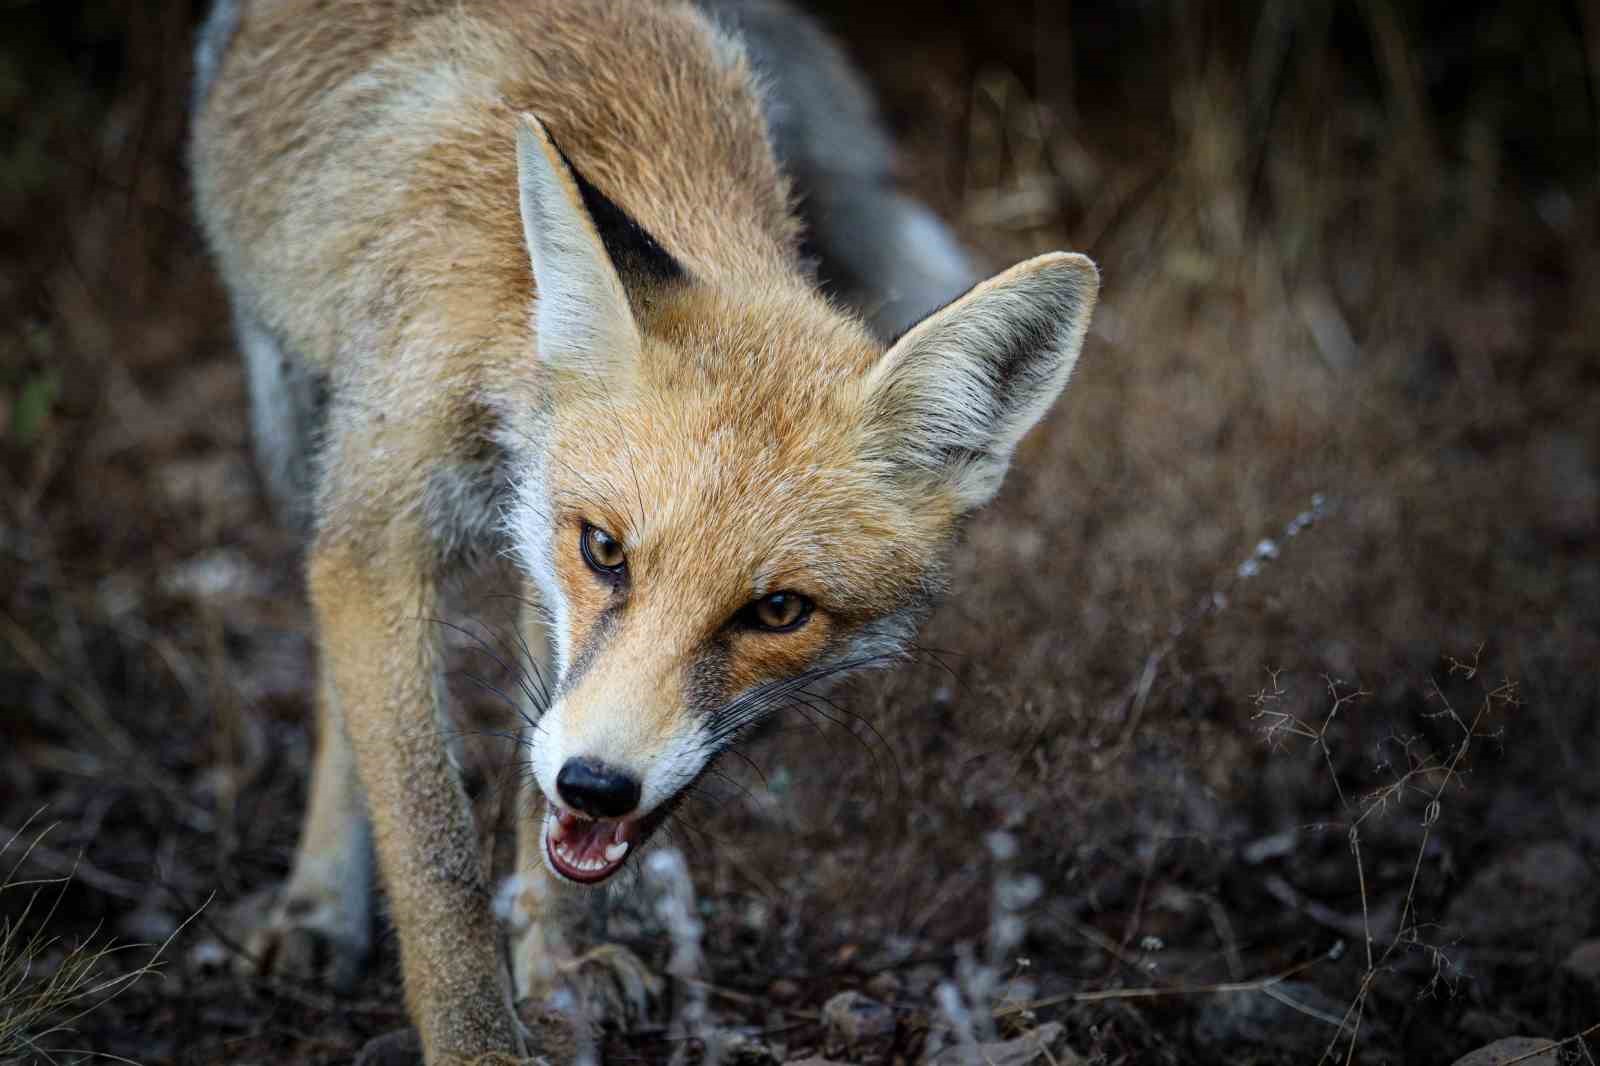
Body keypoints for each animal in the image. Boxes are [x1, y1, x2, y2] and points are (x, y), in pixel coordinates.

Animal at [184, 0, 1088, 1056]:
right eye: (606, 551)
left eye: (780, 611)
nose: (599, 787)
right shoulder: (381, 532)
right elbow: (433, 847)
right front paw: (476, 1040)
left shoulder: (535, 553)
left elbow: (532, 766)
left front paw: (558, 966)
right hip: (296, 425)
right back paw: (320, 902)